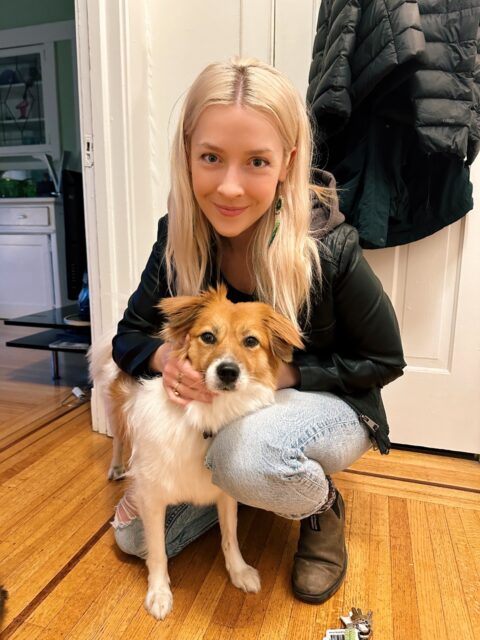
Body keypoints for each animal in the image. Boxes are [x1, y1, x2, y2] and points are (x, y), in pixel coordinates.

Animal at [88, 286, 302, 620]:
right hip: (116, 411)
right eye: (208, 337)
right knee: (119, 439)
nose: (228, 371)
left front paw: (239, 571)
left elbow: (230, 537)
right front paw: (159, 593)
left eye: (251, 341)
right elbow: (158, 551)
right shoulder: (152, 498)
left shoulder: (225, 494)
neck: (204, 414)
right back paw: (117, 467)